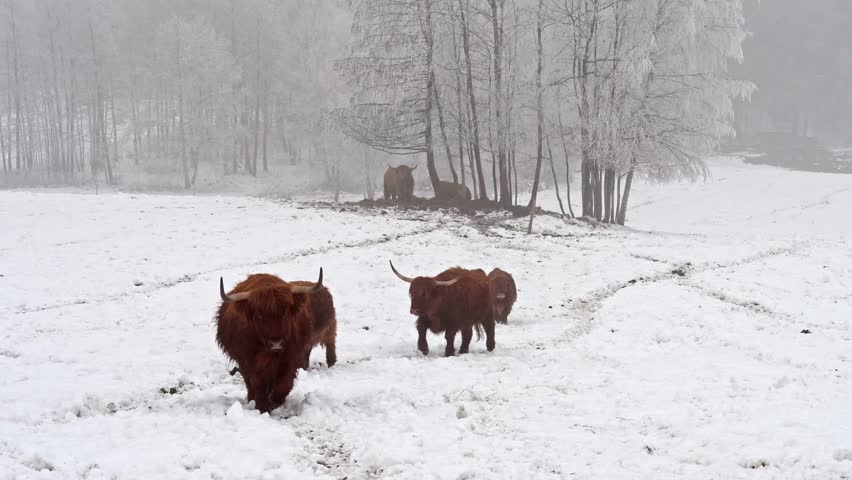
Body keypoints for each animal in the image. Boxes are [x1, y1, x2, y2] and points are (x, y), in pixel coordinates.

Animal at [215, 269, 332, 413]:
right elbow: (258, 384)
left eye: (286, 312)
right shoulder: (250, 361)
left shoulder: (291, 358)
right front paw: (262, 407)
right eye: (259, 315)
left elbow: (285, 383)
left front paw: (276, 401)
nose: (276, 342)